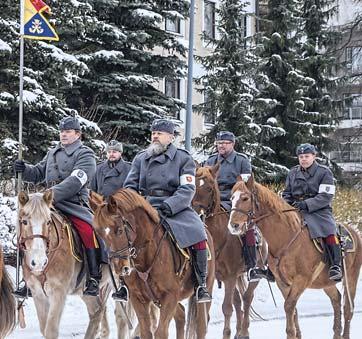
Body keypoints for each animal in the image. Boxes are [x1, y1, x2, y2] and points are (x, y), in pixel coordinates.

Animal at [17, 191, 117, 339]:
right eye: (24, 222)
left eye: (48, 222)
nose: (39, 262)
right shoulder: (38, 294)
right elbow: (44, 328)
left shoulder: (59, 293)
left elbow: (51, 331)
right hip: (87, 291)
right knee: (97, 311)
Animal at [90, 189, 215, 339]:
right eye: (99, 234)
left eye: (119, 230)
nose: (120, 267)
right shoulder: (138, 298)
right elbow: (146, 332)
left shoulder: (170, 296)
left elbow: (161, 332)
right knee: (181, 315)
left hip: (204, 291)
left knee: (201, 325)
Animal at [194, 163, 268, 338]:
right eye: (193, 184)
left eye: (209, 188)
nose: (194, 209)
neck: (219, 236)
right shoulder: (219, 278)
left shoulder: (230, 277)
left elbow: (226, 308)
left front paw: (226, 333)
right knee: (238, 301)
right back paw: (239, 330)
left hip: (254, 273)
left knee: (247, 298)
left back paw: (244, 331)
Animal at [229, 177, 362, 338]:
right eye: (231, 198)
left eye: (245, 198)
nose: (233, 225)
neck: (287, 237)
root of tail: (354, 232)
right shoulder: (282, 282)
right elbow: (292, 309)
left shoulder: (301, 280)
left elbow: (289, 306)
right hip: (325, 282)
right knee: (336, 299)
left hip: (351, 277)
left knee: (348, 308)